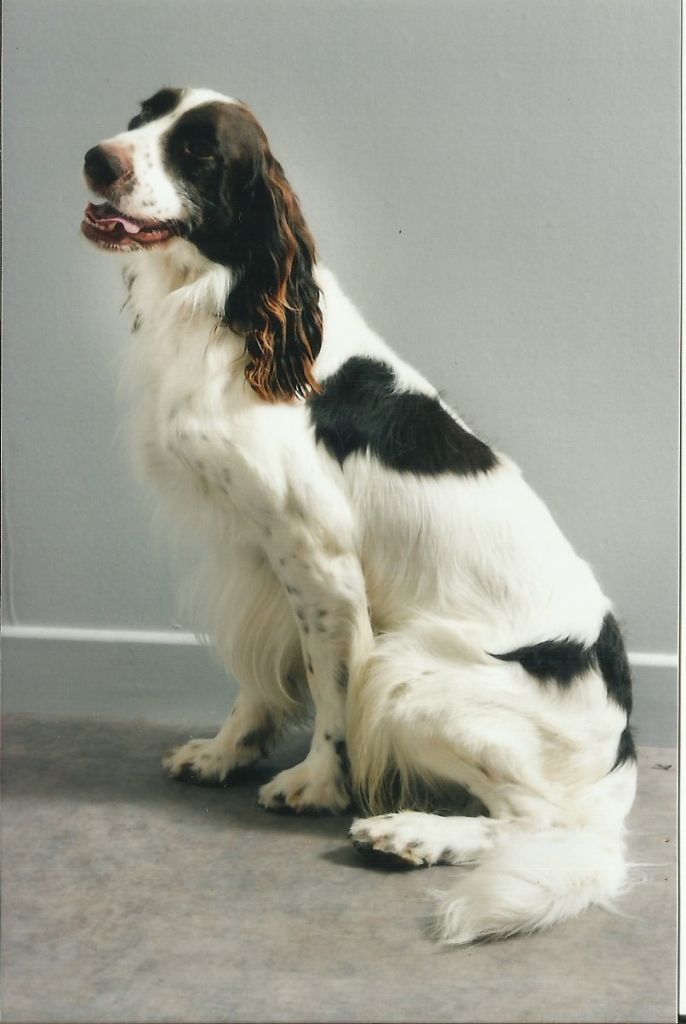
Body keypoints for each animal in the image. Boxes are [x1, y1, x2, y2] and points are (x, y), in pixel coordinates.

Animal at [81, 88, 638, 942]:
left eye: (199, 150)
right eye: (141, 116)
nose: (97, 159)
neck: (231, 307)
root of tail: (623, 746)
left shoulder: (321, 564)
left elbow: (332, 686)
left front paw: (314, 782)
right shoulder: (261, 557)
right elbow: (255, 680)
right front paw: (225, 752)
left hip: (410, 674)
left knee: (542, 820)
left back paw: (409, 833)